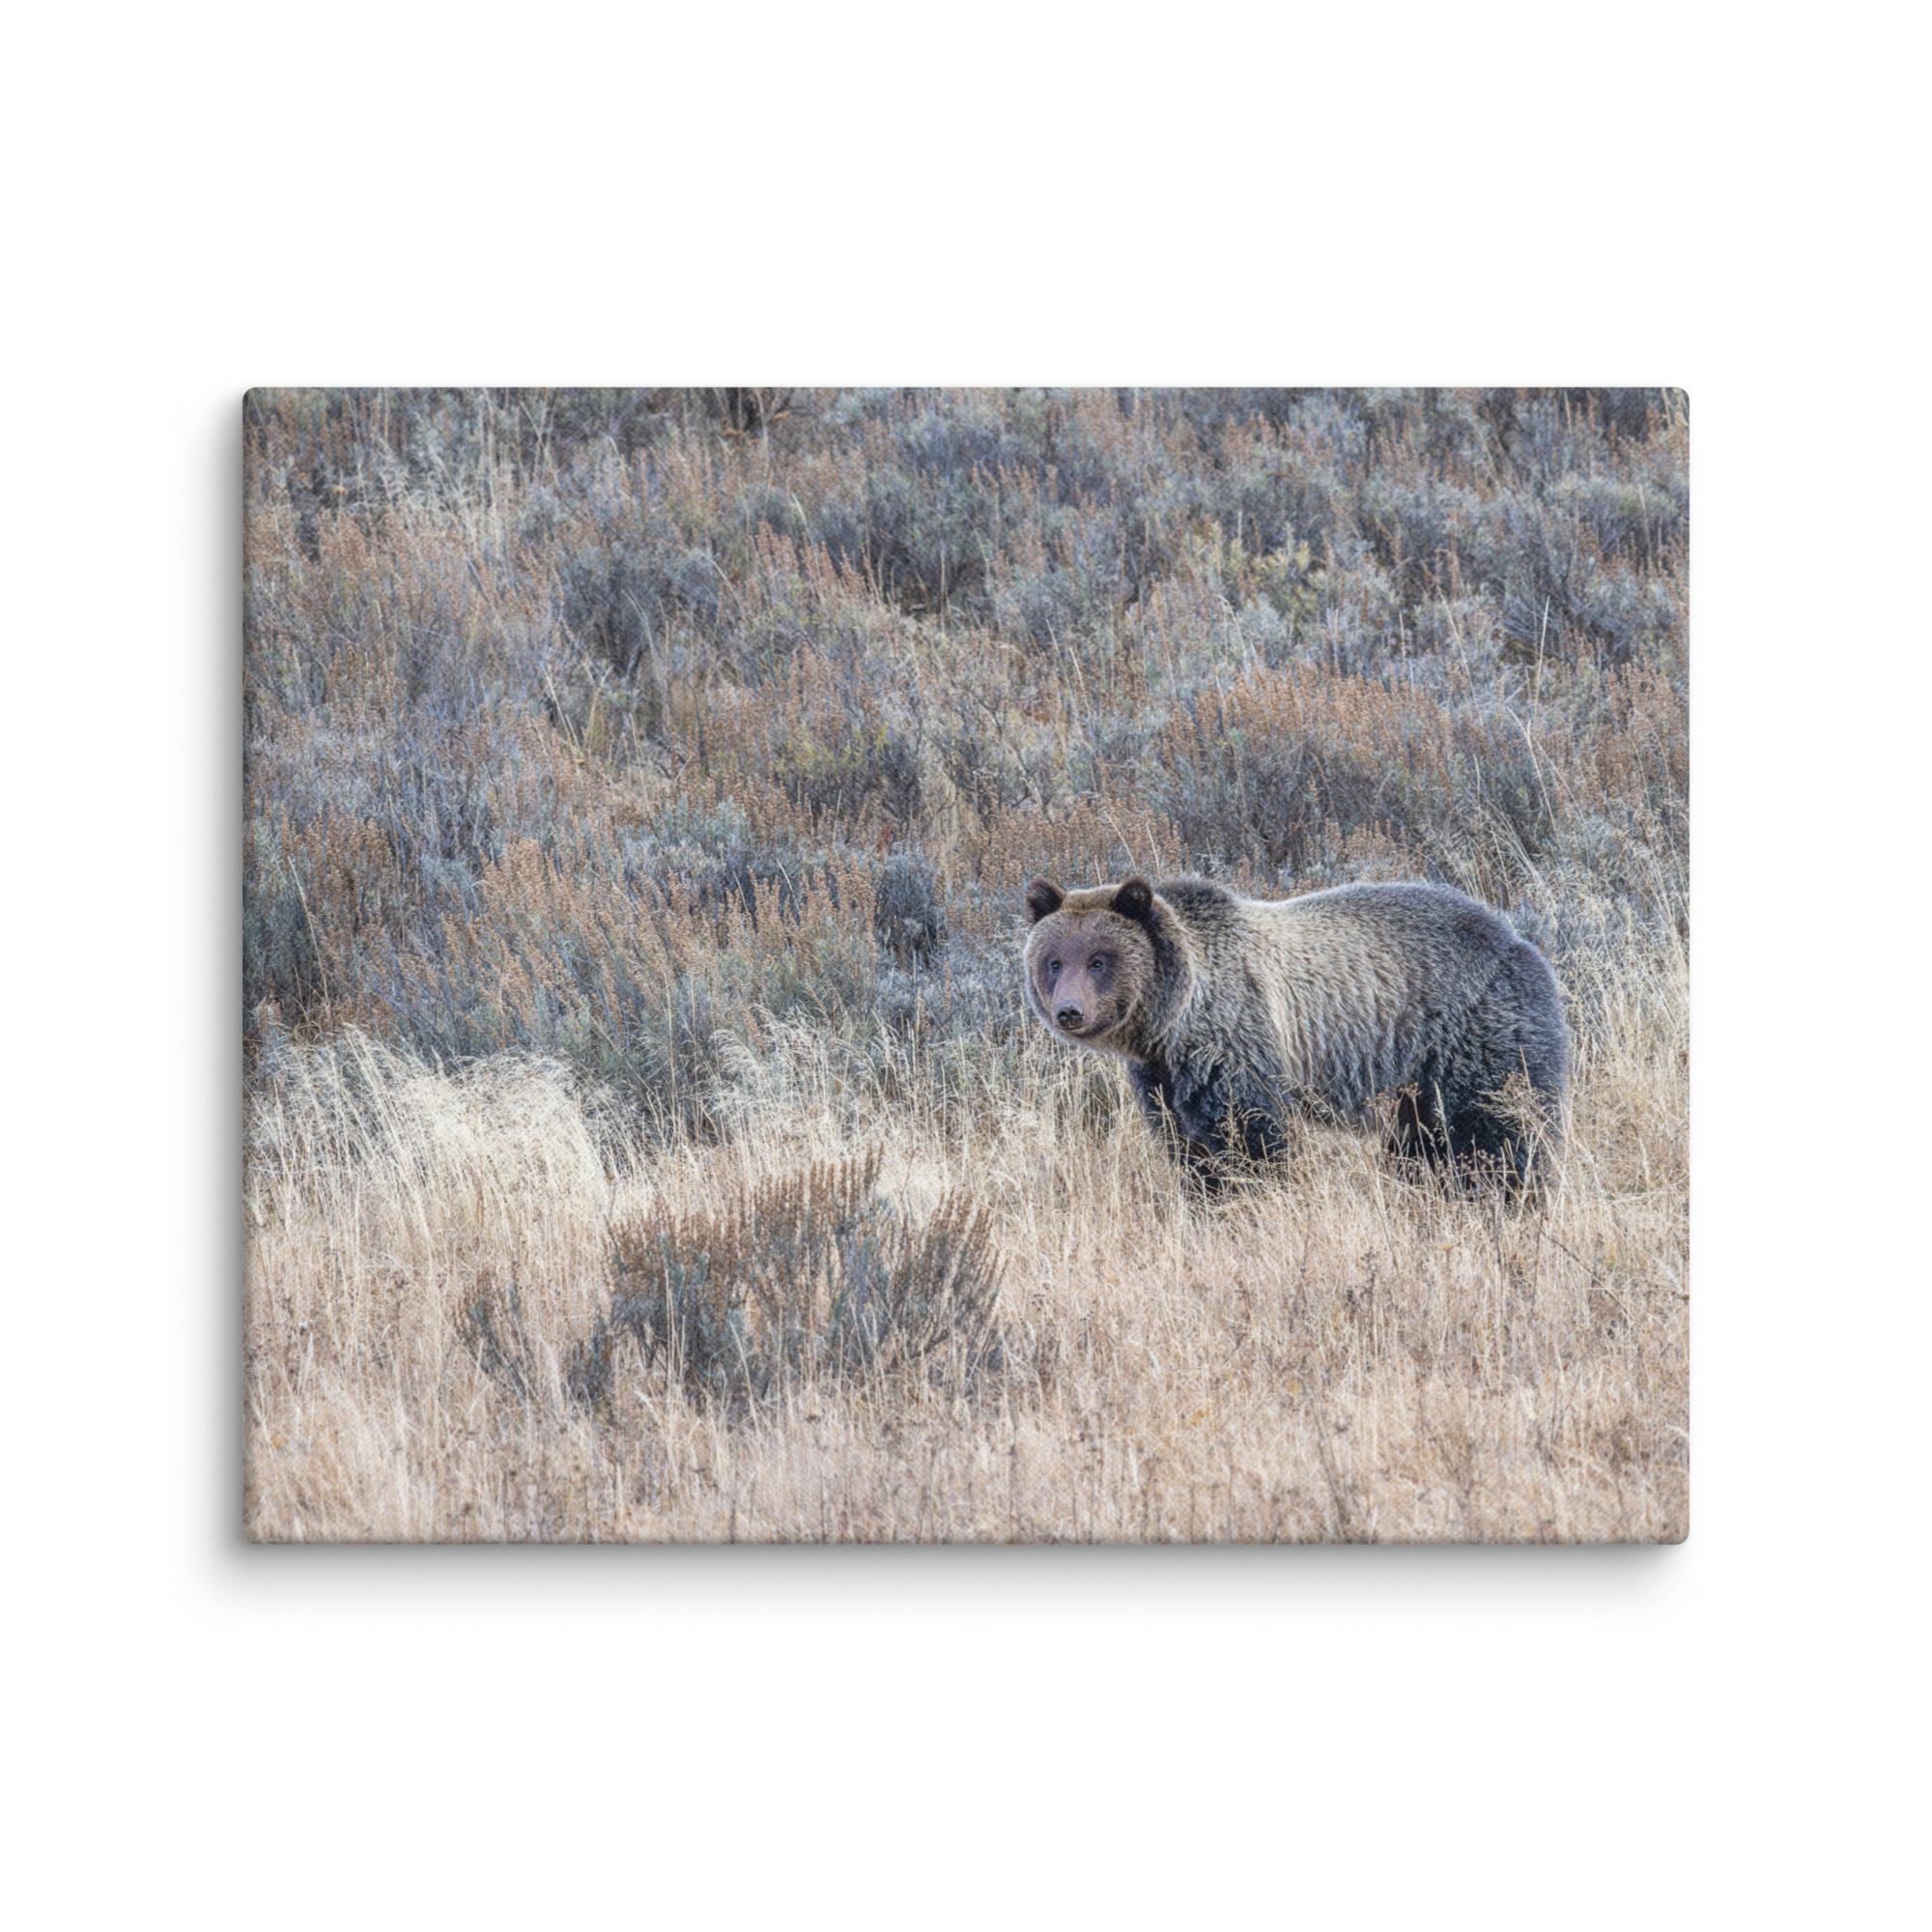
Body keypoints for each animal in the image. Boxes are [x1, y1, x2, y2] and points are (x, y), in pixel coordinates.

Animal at [1023, 874, 1568, 1192]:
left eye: (1099, 960)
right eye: (1054, 961)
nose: (1069, 1011)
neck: (1171, 1022)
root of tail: (1518, 939)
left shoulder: (1235, 1042)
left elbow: (1249, 1137)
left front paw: (1252, 1195)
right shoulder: (1161, 1077)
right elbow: (1186, 1146)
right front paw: (1204, 1194)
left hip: (1474, 1033)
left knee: (1496, 1129)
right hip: (1415, 1080)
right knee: (1422, 1144)